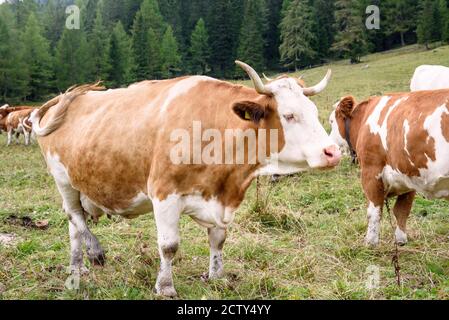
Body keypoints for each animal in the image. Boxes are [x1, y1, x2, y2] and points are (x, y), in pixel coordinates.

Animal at [30, 61, 340, 296]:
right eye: (289, 115)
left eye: (314, 111)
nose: (333, 152)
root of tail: (62, 98)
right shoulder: (164, 193)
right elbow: (169, 246)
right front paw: (165, 287)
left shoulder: (219, 199)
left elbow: (218, 239)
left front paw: (216, 276)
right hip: (63, 180)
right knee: (74, 216)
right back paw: (94, 252)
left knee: (73, 225)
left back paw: (76, 267)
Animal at [328, 90, 448, 248]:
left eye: (331, 121)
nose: (331, 149)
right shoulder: (408, 174)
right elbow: (402, 211)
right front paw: (400, 240)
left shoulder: (371, 172)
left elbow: (374, 212)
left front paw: (370, 243)